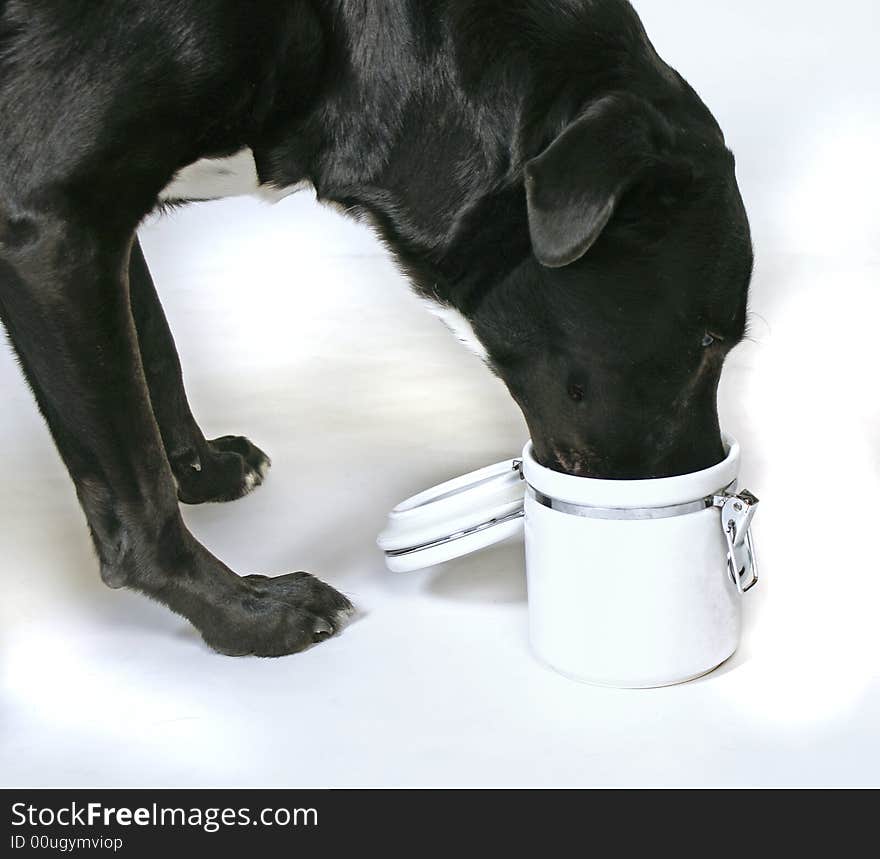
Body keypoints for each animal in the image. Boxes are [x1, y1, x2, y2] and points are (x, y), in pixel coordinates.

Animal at [1, 1, 748, 660]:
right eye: (709, 345)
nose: (707, 485)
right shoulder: (51, 225)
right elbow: (138, 490)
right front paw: (245, 613)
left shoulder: (98, 224)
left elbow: (156, 349)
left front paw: (200, 467)